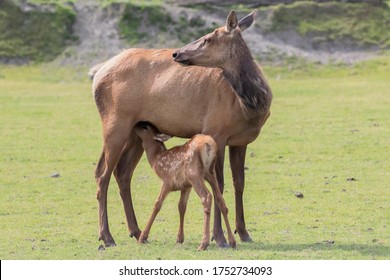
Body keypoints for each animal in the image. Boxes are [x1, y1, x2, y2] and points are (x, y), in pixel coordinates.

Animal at [91, 9, 272, 248]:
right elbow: (220, 184)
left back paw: (136, 231)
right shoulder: (216, 131)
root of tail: (97, 74)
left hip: (136, 131)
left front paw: (243, 233)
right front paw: (219, 237)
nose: (176, 53)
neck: (249, 106)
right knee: (102, 175)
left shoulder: (240, 140)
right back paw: (107, 236)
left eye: (207, 38)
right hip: (115, 123)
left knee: (122, 172)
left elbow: (239, 183)